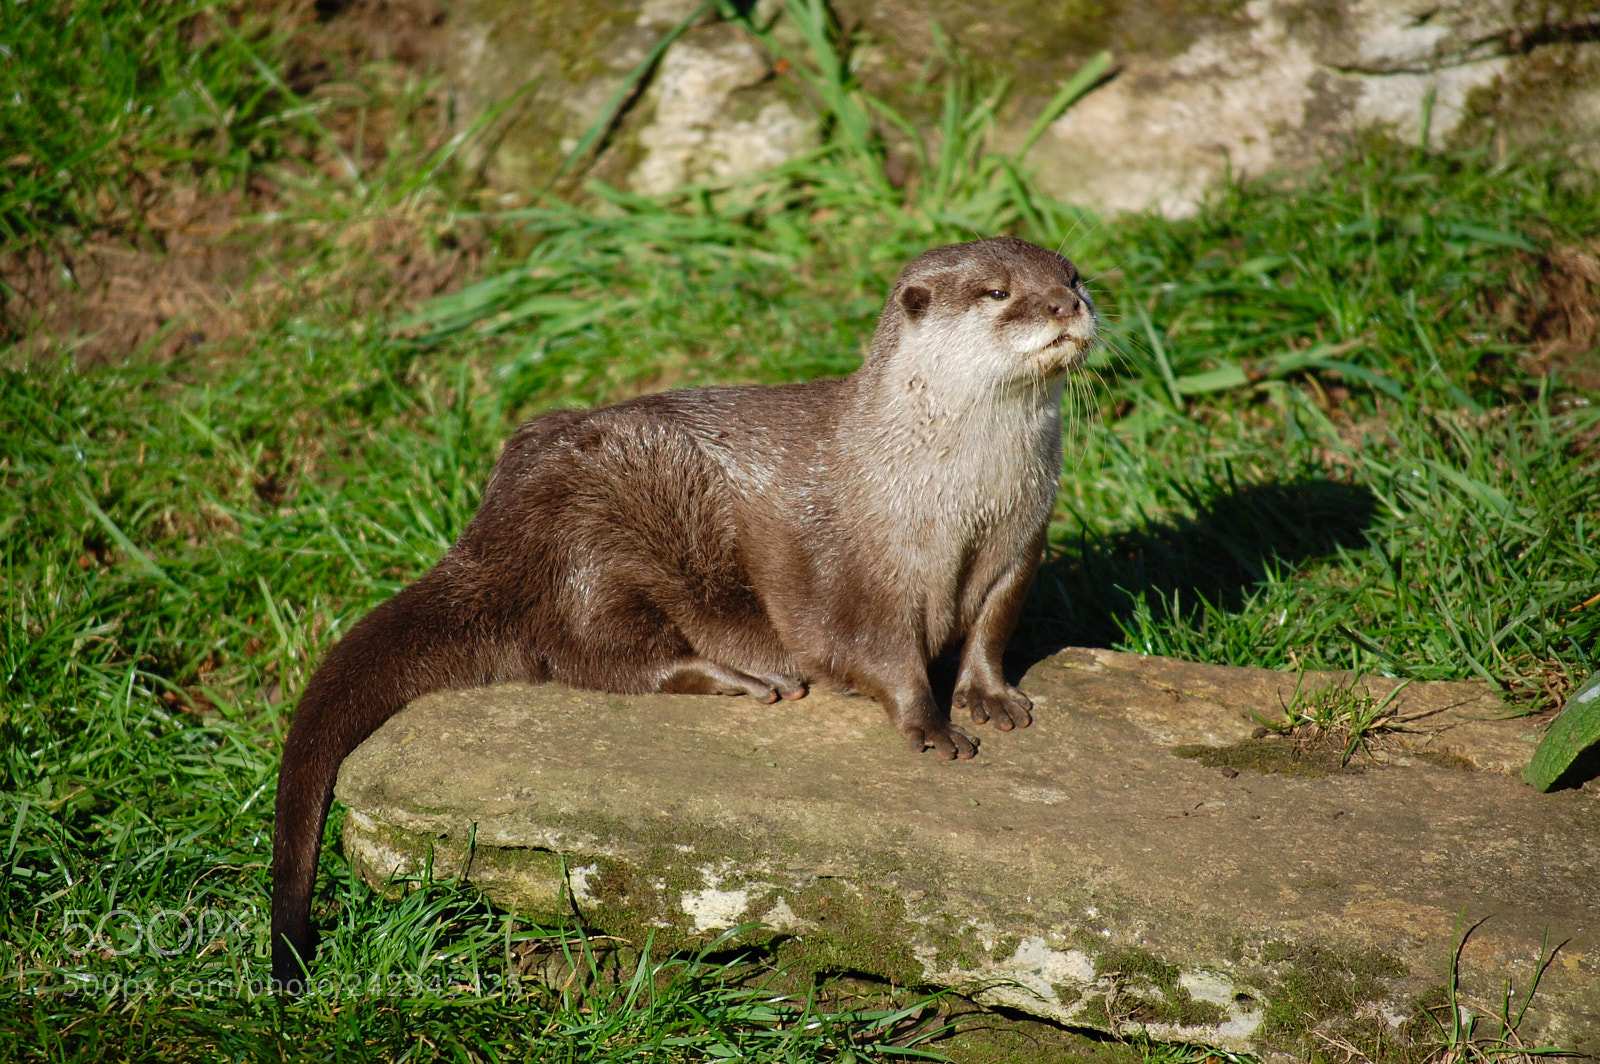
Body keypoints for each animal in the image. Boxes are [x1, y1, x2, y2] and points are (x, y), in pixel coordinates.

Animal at [270, 236, 1097, 989]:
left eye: (1073, 273)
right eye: (997, 292)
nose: (1066, 305)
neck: (948, 497)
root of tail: (488, 530)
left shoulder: (1021, 544)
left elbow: (991, 630)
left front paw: (991, 695)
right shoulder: (862, 573)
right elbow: (876, 654)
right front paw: (929, 725)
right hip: (596, 545)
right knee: (596, 654)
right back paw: (741, 678)